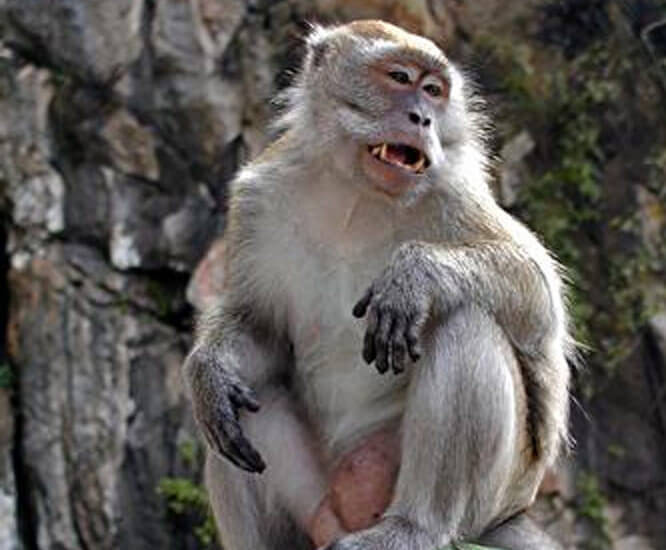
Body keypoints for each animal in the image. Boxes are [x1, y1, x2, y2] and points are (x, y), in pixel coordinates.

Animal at [183, 20, 571, 550]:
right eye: (400, 77)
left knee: (467, 322)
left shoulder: (453, 190)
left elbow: (538, 297)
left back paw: (414, 527)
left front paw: (416, 276)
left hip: (489, 497)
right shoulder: (258, 197)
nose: (422, 118)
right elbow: (258, 324)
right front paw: (208, 370)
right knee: (242, 398)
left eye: (434, 91)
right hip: (320, 505)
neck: (356, 195)